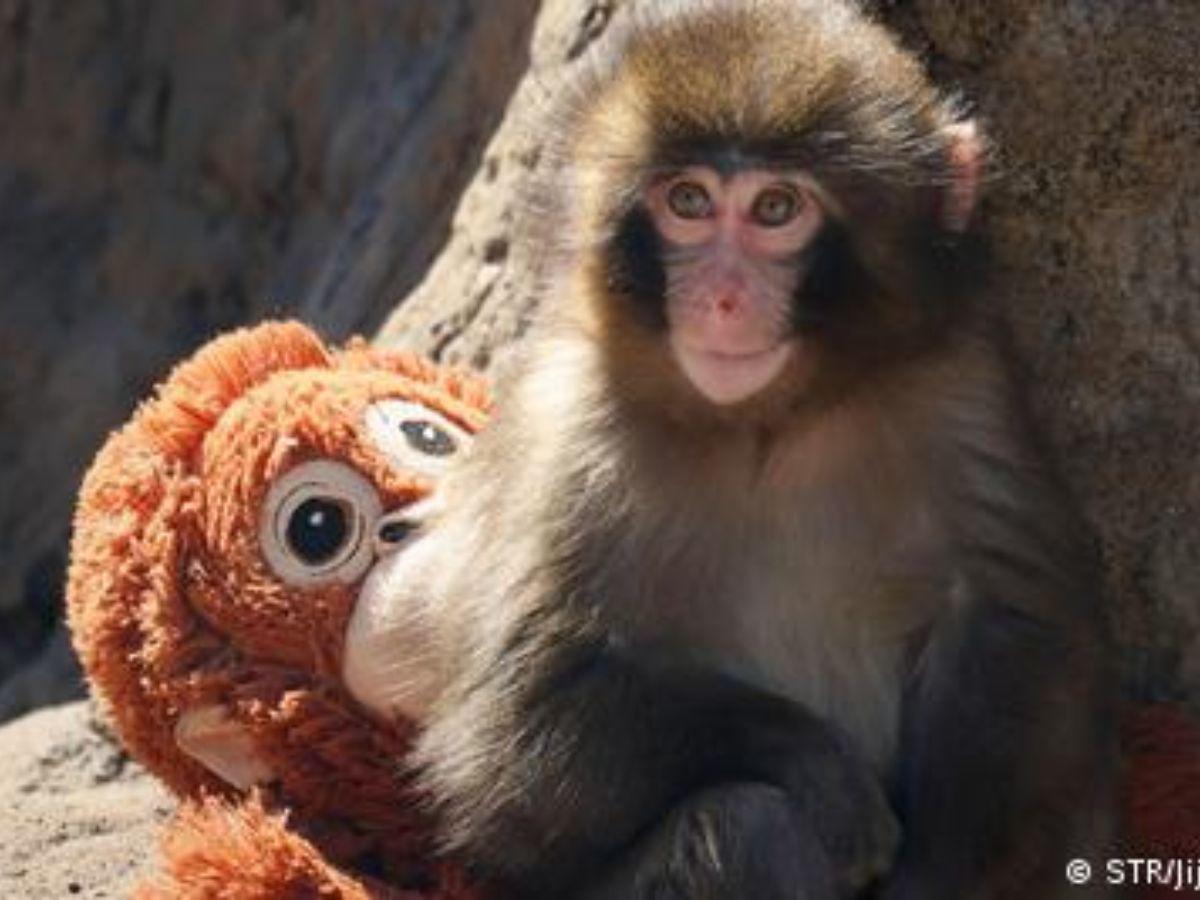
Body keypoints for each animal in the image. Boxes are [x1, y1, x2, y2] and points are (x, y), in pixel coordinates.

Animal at [341, 1, 1119, 897]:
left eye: (776, 209)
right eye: (688, 200)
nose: (720, 297)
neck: (768, 423)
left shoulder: (961, 384)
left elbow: (1013, 624)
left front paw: (937, 872)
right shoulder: (570, 435)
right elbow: (513, 741)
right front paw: (817, 764)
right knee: (745, 823)